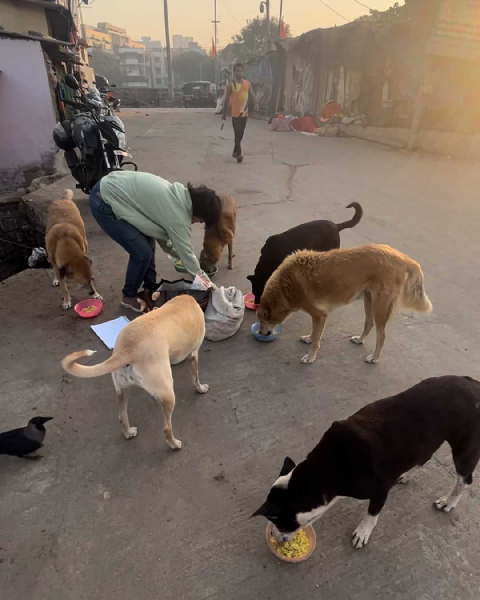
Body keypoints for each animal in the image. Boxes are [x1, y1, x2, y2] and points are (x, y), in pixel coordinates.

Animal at [61, 295, 208, 450]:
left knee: (122, 416)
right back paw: (174, 444)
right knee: (166, 427)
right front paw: (200, 388)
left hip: (122, 390)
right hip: (167, 393)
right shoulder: (194, 354)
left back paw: (128, 432)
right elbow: (196, 377)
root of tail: (126, 350)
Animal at [252, 376, 480, 549]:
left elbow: (372, 513)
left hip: (464, 448)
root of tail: (474, 383)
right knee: (425, 456)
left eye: (275, 520)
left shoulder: (380, 491)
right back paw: (407, 475)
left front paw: (363, 532)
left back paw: (448, 502)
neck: (328, 468)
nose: (274, 537)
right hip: (429, 439)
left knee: (465, 479)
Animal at [257, 244, 432, 364]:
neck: (285, 284)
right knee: (369, 324)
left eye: (262, 320)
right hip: (369, 300)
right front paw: (309, 338)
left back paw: (374, 357)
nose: (260, 333)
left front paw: (310, 356)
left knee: (381, 335)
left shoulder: (320, 314)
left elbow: (316, 339)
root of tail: (403, 257)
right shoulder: (318, 316)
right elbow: (315, 334)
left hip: (380, 306)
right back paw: (360, 339)